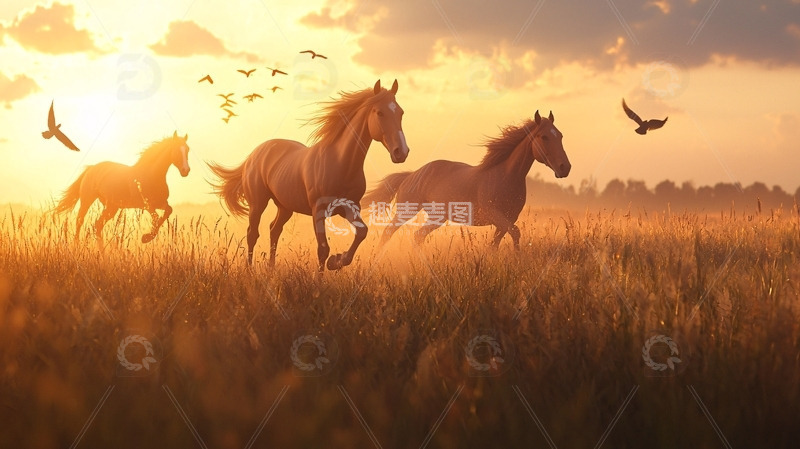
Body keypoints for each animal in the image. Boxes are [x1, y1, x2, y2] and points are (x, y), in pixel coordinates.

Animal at [55, 131, 191, 243]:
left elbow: (168, 211)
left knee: (97, 226)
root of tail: (92, 168)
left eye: (187, 149)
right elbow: (157, 219)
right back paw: (77, 244)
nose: (186, 170)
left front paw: (147, 237)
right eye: (177, 150)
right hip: (87, 200)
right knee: (80, 221)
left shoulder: (160, 203)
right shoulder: (147, 205)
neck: (151, 175)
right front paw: (146, 238)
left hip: (111, 207)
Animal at [208, 79, 410, 271]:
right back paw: (250, 270)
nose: (401, 152)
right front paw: (323, 275)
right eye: (379, 113)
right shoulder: (318, 211)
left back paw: (271, 269)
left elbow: (362, 232)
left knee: (274, 230)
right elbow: (323, 249)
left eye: (400, 113)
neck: (340, 164)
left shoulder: (350, 208)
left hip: (285, 207)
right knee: (252, 234)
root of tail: (255, 154)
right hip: (258, 204)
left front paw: (337, 261)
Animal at [362, 110, 570, 248]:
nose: (565, 168)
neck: (506, 176)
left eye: (560, 135)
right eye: (544, 137)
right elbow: (515, 233)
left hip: (437, 217)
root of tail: (412, 175)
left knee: (417, 235)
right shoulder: (496, 215)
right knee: (388, 232)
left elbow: (496, 243)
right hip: (407, 211)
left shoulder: (507, 219)